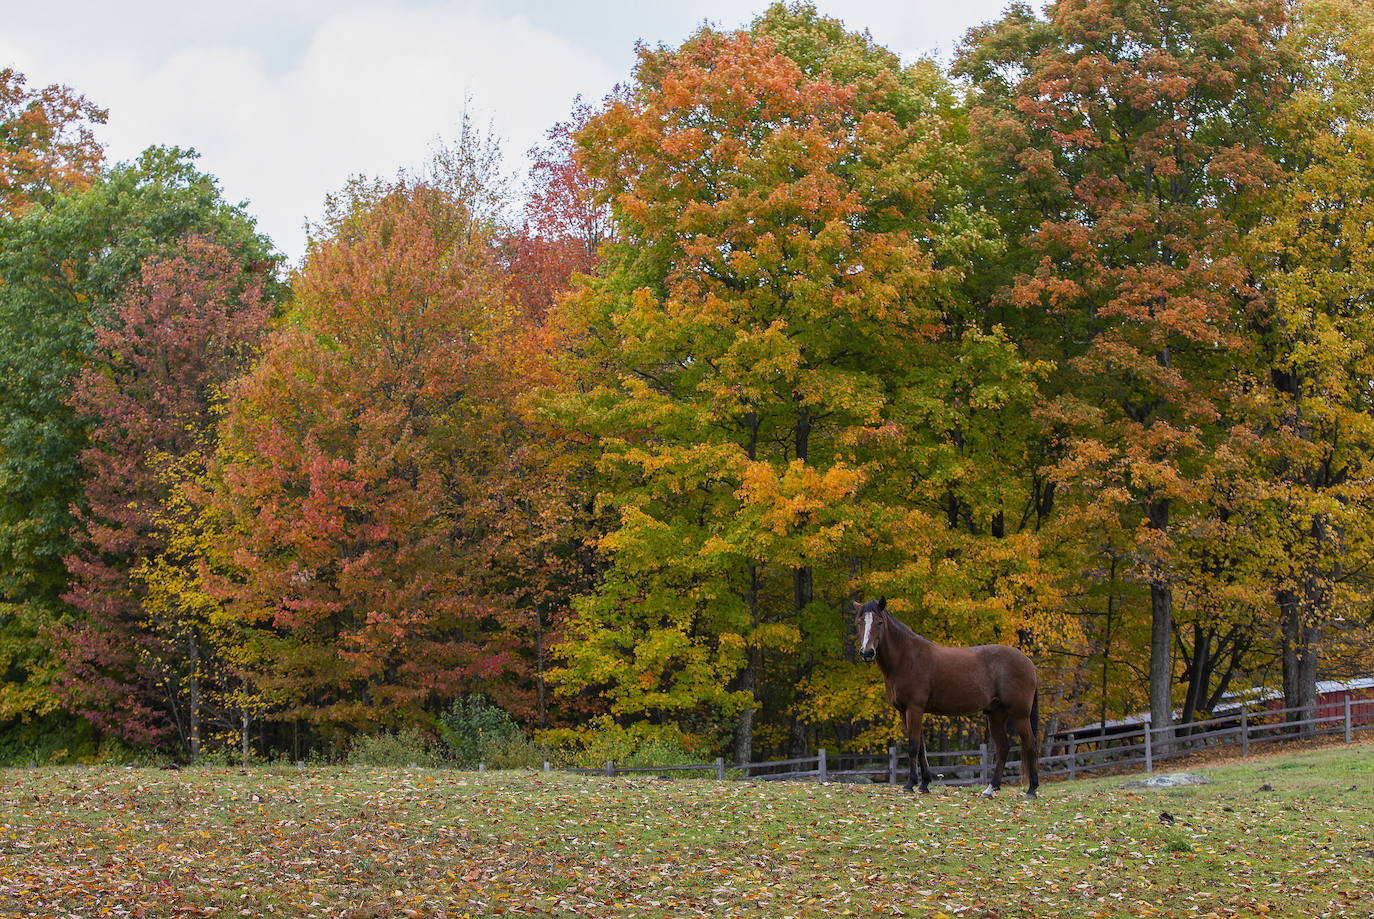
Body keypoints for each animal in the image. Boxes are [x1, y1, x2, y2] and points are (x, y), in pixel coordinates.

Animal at [851, 596, 1033, 796]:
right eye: (860, 622)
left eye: (879, 622)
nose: (867, 652)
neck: (907, 658)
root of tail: (1027, 661)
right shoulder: (904, 711)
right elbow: (921, 748)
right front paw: (924, 785)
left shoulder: (914, 709)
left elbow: (913, 747)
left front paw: (910, 784)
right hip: (995, 714)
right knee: (1003, 748)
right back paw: (990, 789)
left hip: (1020, 715)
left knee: (1030, 743)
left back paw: (1032, 790)